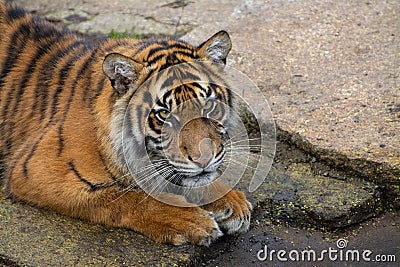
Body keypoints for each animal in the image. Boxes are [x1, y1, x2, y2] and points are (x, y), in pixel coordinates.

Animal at [0, 0, 250, 247]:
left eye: (208, 104)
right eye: (164, 114)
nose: (204, 160)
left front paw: (231, 200)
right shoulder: (36, 170)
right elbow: (130, 197)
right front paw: (192, 219)